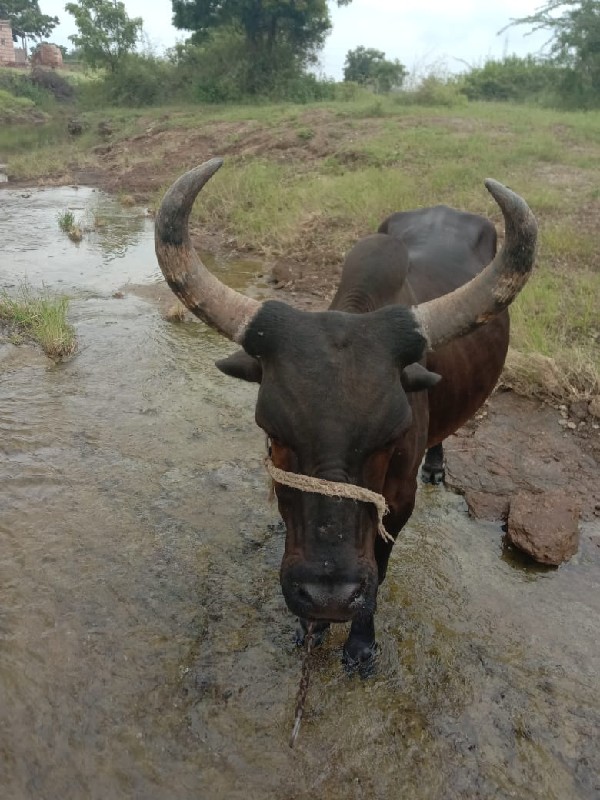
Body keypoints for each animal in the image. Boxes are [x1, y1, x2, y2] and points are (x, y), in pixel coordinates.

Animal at [155, 158, 540, 668]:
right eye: (273, 435)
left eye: (392, 437)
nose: (328, 596)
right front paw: (311, 626)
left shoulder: (399, 502)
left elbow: (380, 567)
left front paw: (359, 643)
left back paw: (437, 466)